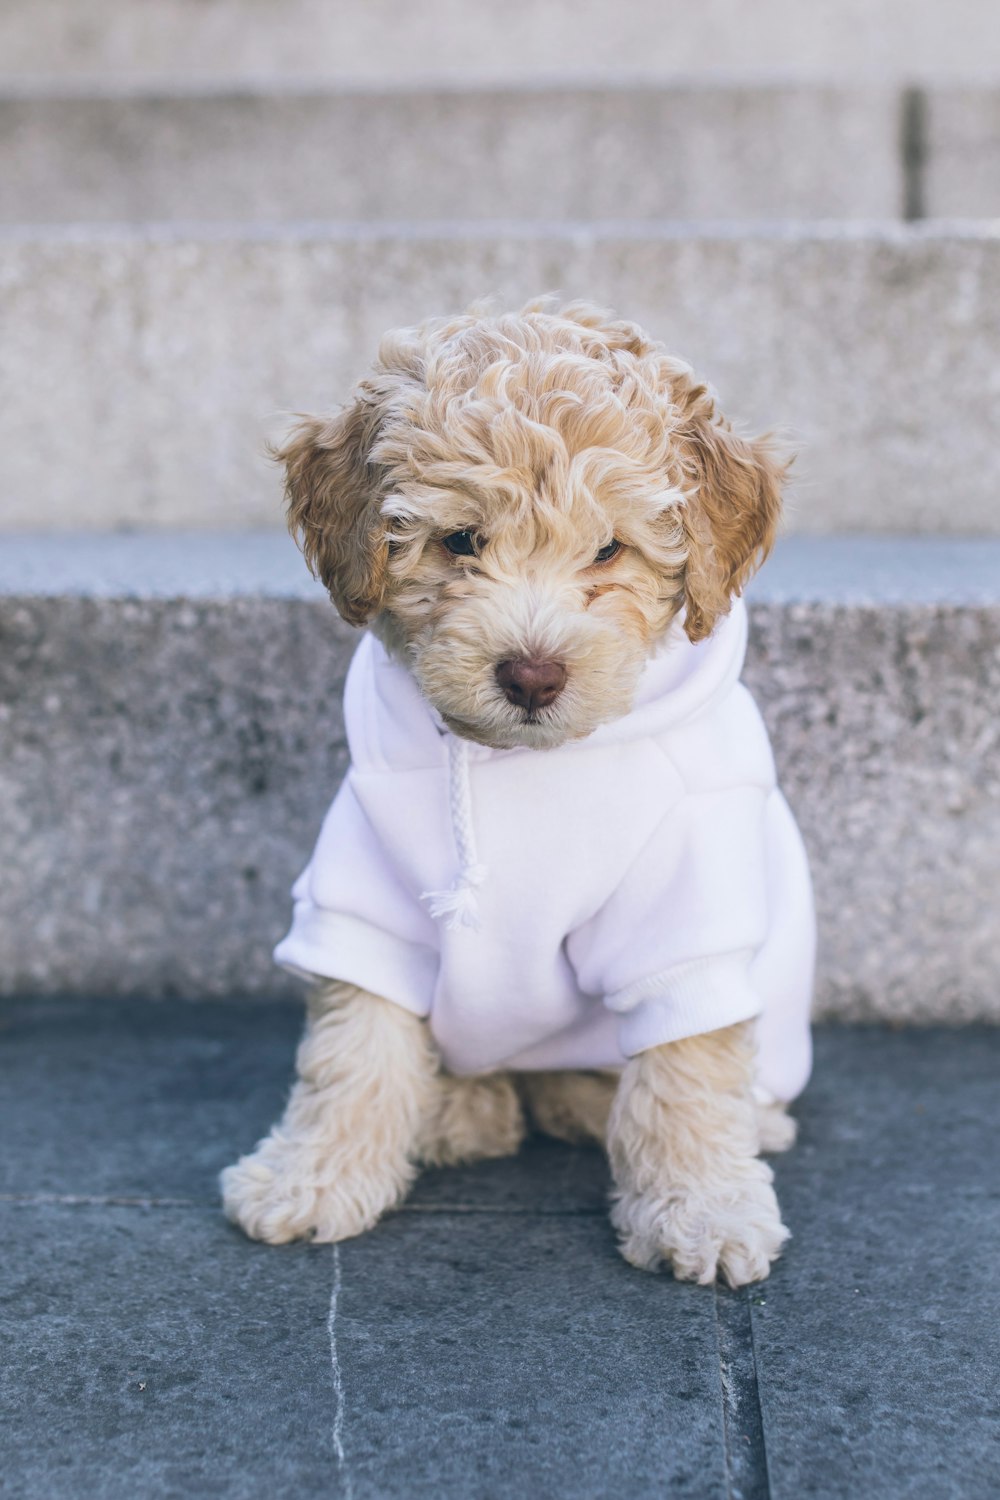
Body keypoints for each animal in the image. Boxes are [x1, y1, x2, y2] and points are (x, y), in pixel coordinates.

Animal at [223, 298, 815, 1284]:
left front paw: (704, 1208)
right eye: (461, 540)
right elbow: (355, 1045)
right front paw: (311, 1175)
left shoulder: (686, 915)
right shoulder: (365, 898)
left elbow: (688, 1063)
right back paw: (460, 1109)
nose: (533, 673)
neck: (524, 761)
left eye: (609, 548)